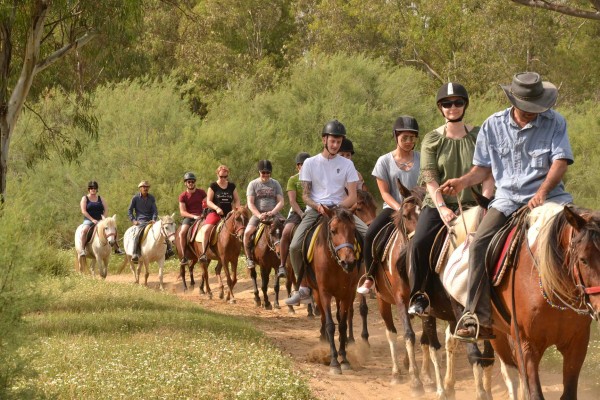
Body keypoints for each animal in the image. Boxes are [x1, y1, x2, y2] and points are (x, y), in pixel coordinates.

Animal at [304, 206, 366, 376]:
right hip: (317, 292)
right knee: (323, 317)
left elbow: (343, 325)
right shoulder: (324, 292)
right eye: (333, 230)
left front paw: (344, 359)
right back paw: (324, 340)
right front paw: (333, 362)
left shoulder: (346, 293)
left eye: (353, 230)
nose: (348, 262)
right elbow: (330, 325)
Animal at [488, 206, 600, 400]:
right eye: (583, 259)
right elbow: (534, 393)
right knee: (511, 375)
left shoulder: (577, 343)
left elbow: (568, 393)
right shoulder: (527, 346)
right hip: (497, 334)